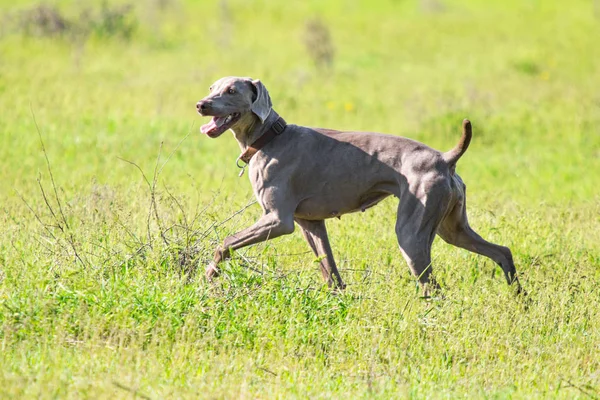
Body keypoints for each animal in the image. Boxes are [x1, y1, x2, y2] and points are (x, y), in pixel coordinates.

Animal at [197, 76, 520, 294]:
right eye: (212, 88)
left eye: (231, 90)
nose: (201, 104)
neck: (269, 137)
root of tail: (445, 158)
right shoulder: (311, 224)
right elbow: (330, 271)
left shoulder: (278, 220)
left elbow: (225, 243)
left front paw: (208, 276)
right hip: (452, 227)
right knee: (502, 251)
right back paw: (520, 297)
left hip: (412, 233)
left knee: (433, 286)